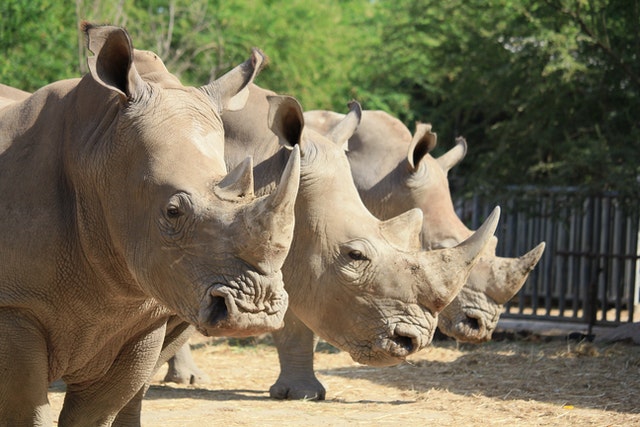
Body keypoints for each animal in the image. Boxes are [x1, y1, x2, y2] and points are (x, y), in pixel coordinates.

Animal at [0, 25, 300, 426]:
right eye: (172, 212)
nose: (255, 312)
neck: (96, 151)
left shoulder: (143, 317)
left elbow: (96, 412)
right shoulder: (14, 304)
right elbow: (27, 411)